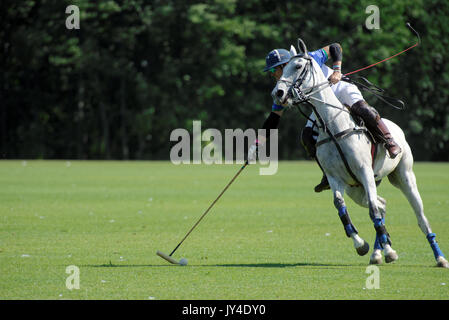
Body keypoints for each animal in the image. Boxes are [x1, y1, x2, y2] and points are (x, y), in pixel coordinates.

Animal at [272, 38, 446, 268]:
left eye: (299, 66)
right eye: (284, 69)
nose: (278, 94)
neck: (332, 126)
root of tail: (396, 128)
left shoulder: (364, 171)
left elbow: (373, 211)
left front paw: (388, 250)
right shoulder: (336, 178)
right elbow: (341, 207)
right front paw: (362, 245)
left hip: (404, 176)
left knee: (419, 216)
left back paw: (439, 257)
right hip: (356, 188)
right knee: (382, 204)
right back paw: (378, 253)